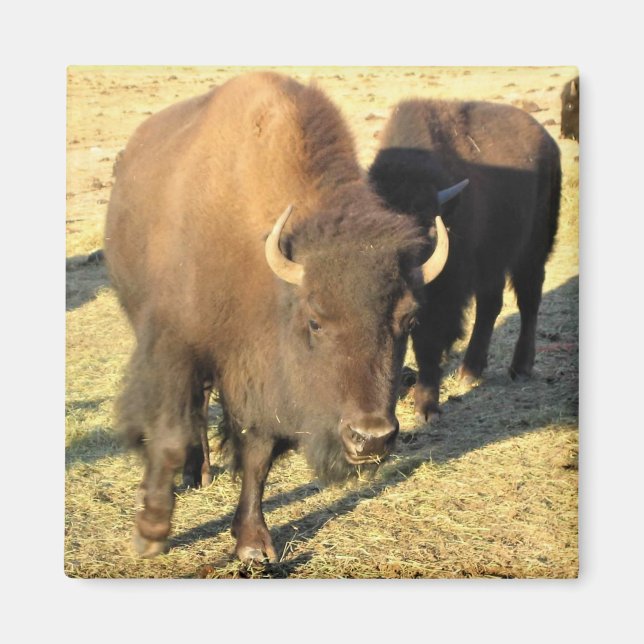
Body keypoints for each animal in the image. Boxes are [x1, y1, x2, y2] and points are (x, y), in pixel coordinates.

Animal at [105, 73, 464, 563]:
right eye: (315, 320)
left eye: (408, 320)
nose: (370, 437)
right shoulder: (175, 347)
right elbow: (169, 435)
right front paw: (151, 533)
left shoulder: (256, 376)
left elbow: (257, 454)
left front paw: (253, 544)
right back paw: (192, 478)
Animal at [368, 99, 561, 422]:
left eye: (428, 227)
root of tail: (548, 142)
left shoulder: (443, 297)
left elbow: (428, 343)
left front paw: (426, 409)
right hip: (492, 263)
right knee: (490, 306)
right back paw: (470, 371)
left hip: (531, 253)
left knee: (528, 302)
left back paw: (519, 368)